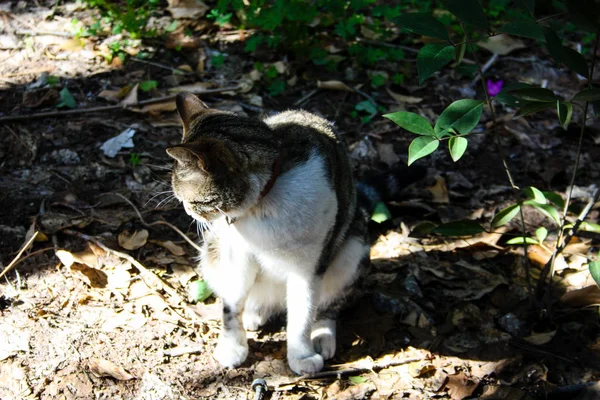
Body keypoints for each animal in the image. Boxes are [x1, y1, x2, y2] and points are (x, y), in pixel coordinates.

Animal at [165, 93, 418, 376]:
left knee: (329, 307)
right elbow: (232, 306)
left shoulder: (309, 266)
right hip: (213, 253)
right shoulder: (235, 255)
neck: (261, 206)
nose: (187, 211)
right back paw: (255, 313)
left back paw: (322, 336)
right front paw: (233, 347)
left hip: (352, 252)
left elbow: (303, 313)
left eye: (192, 201)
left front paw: (301, 355)